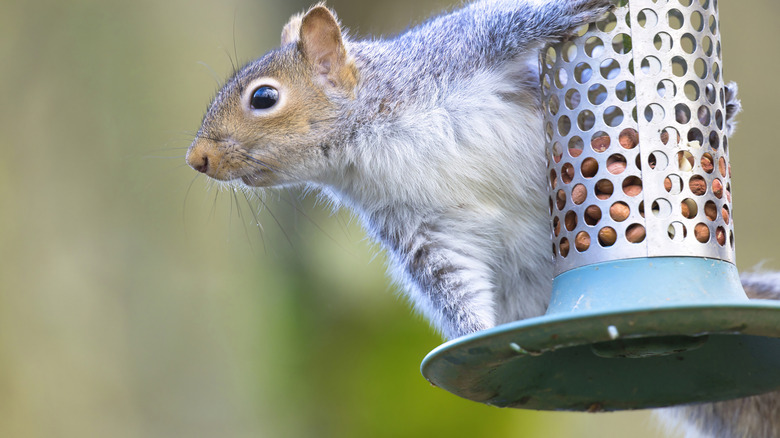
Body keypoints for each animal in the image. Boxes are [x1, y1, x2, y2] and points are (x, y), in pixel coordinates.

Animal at [186, 1, 779, 437]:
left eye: (264, 97)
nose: (197, 160)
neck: (370, 142)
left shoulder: (462, 51)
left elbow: (512, 22)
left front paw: (575, 8)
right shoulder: (421, 230)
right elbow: (453, 284)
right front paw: (477, 334)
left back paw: (718, 115)